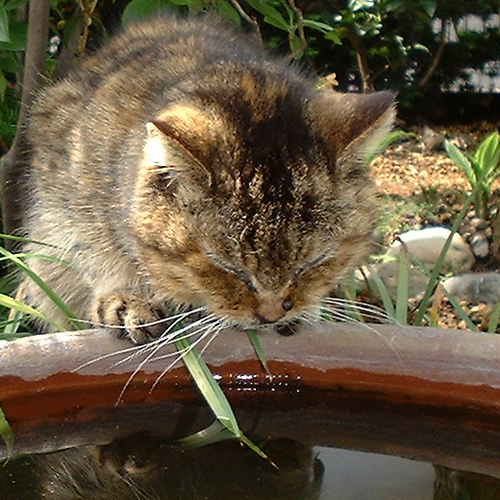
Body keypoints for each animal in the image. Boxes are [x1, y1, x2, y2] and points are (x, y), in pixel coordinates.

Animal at [18, 14, 394, 344]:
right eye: (227, 267)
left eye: (314, 262)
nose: (272, 314)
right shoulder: (74, 203)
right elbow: (97, 254)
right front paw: (126, 300)